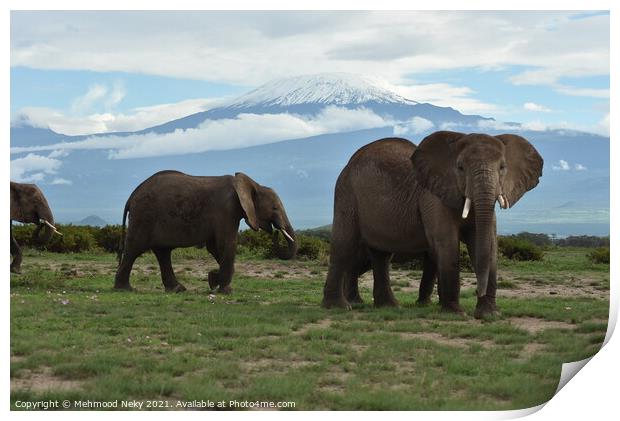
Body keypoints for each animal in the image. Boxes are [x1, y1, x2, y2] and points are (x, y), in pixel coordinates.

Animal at [114, 170, 298, 292]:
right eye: (274, 208)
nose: (276, 231)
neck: (252, 184)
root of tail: (132, 196)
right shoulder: (226, 210)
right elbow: (226, 244)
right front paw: (225, 290)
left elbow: (214, 247)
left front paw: (213, 280)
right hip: (144, 216)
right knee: (134, 249)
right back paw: (125, 289)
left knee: (163, 252)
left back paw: (178, 289)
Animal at [322, 132, 540, 318]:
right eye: (460, 167)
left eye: (502, 167)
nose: (477, 290)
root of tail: (350, 162)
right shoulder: (432, 197)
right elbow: (447, 245)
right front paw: (455, 313)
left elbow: (485, 244)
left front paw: (490, 315)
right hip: (346, 193)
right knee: (344, 246)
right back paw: (340, 307)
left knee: (381, 255)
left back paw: (389, 306)